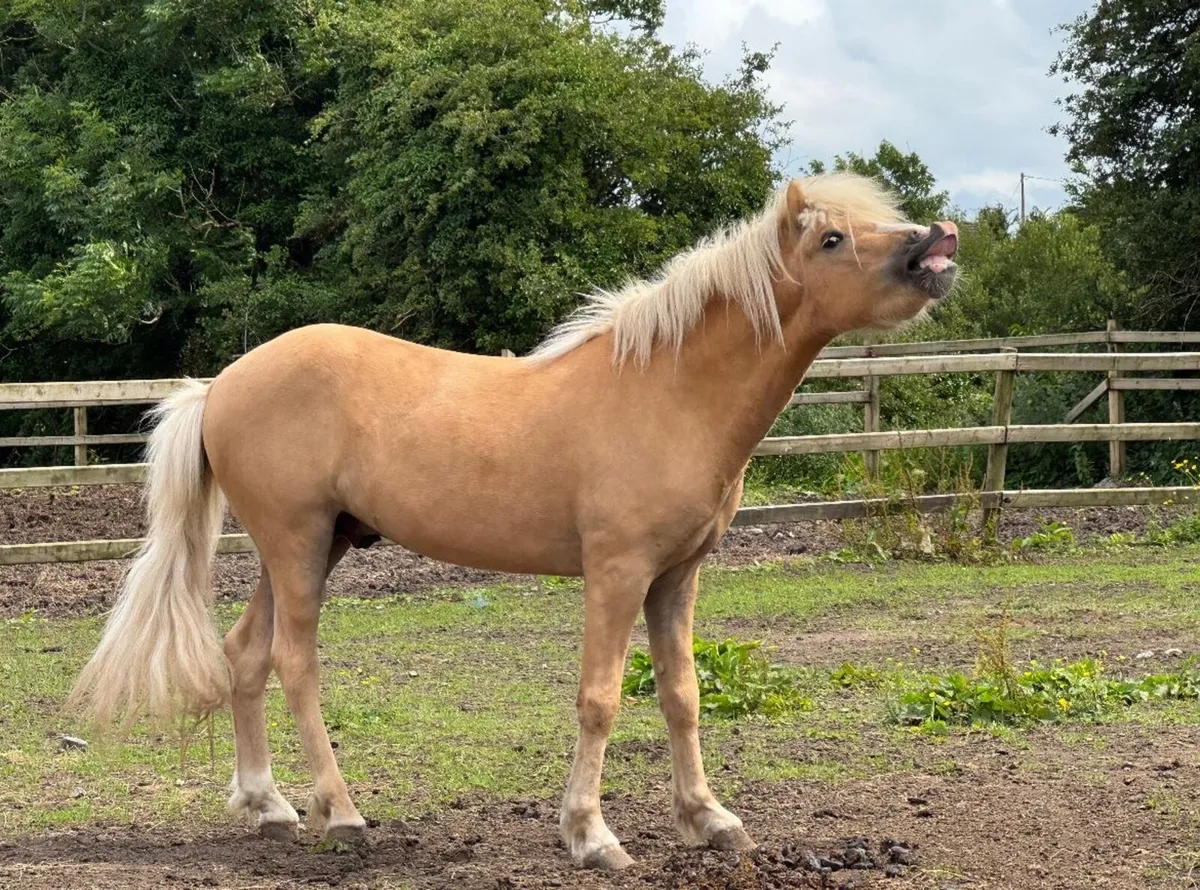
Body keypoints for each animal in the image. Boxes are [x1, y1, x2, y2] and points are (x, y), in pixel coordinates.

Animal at [67, 171, 958, 870]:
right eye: (834, 239)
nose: (937, 242)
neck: (666, 392)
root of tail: (221, 384)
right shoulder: (616, 573)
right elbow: (600, 698)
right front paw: (592, 835)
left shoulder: (677, 576)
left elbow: (682, 695)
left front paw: (710, 820)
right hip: (296, 543)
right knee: (294, 663)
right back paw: (342, 812)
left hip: (312, 547)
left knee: (244, 655)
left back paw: (270, 806)